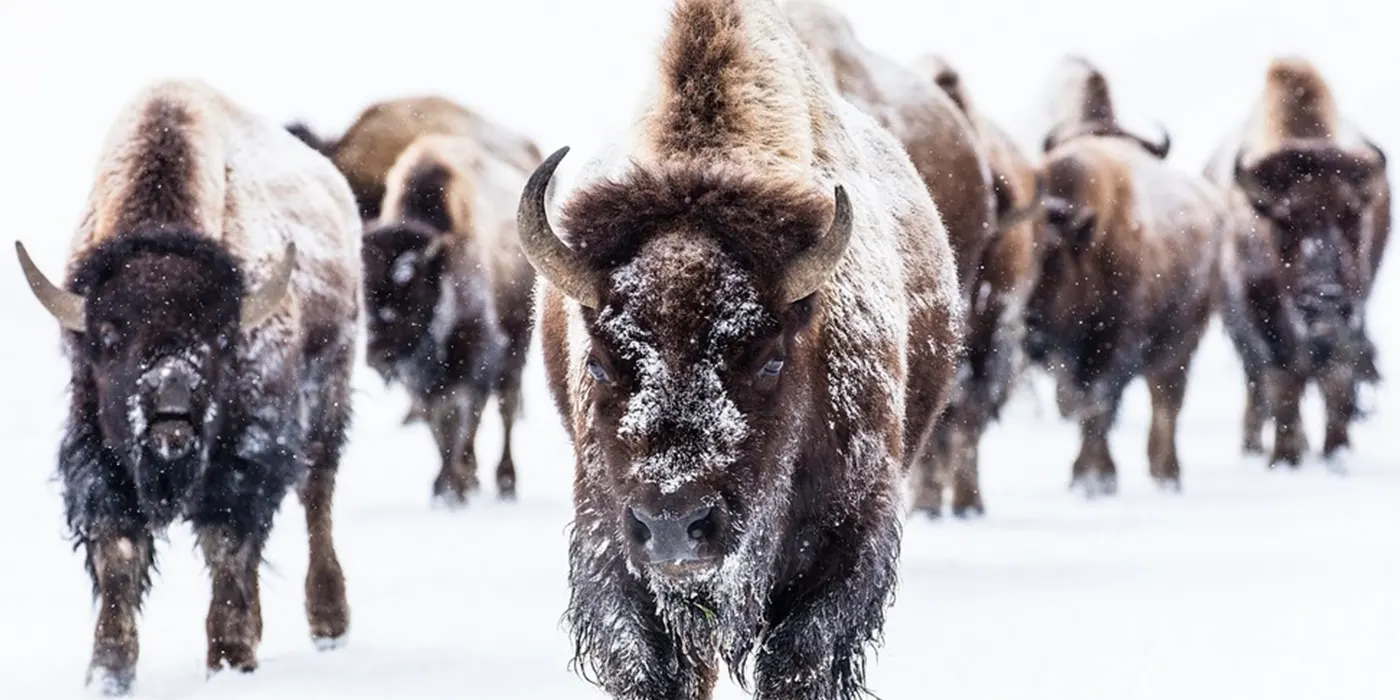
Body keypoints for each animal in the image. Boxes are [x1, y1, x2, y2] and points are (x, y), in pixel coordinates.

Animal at [13, 78, 361, 694]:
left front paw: (229, 657)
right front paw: (109, 671)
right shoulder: (98, 457)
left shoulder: (244, 460)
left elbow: (227, 547)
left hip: (329, 400)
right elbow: (119, 554)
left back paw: (328, 624)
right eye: (108, 338)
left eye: (221, 337)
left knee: (317, 498)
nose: (171, 415)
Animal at [523, 0, 963, 694]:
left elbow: (798, 660)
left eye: (770, 359)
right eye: (597, 362)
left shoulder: (848, 545)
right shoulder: (611, 548)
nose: (673, 527)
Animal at [1204, 57, 1388, 467]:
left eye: (1352, 216)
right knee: (1259, 383)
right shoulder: (1262, 318)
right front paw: (1285, 456)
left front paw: (1337, 452)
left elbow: (1336, 380)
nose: (1324, 297)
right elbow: (1282, 383)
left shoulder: (1352, 312)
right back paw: (1256, 446)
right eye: (1285, 220)